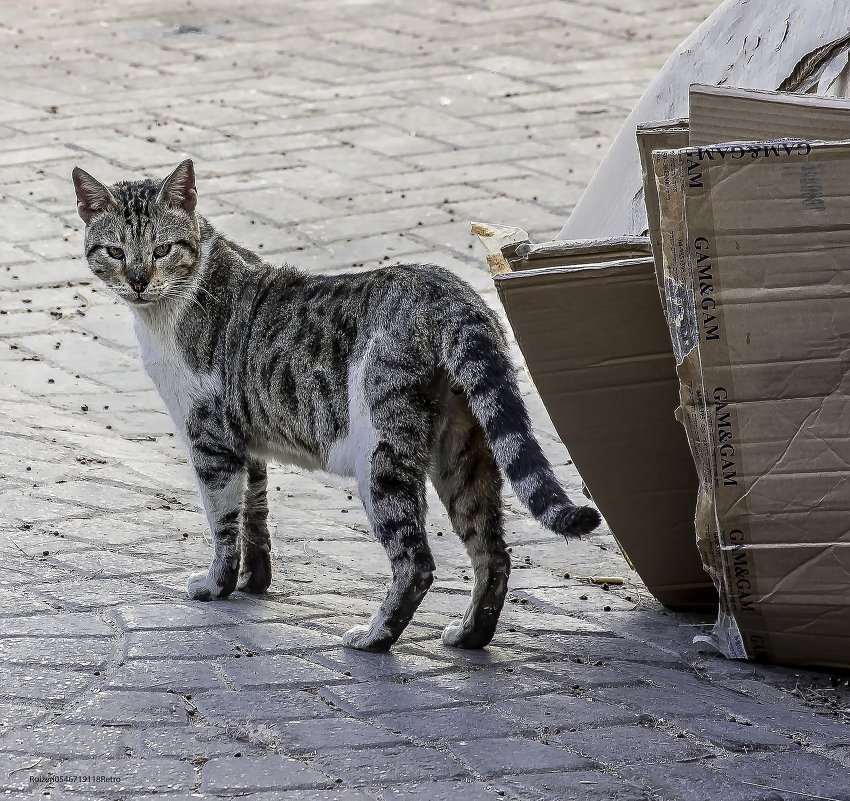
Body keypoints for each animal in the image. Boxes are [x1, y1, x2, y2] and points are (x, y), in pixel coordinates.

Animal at [74, 161, 604, 648]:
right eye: (116, 252)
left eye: (162, 250)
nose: (138, 280)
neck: (175, 303)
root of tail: (449, 295)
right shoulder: (246, 440)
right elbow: (254, 514)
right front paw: (253, 582)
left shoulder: (210, 438)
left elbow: (222, 521)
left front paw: (217, 585)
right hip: (463, 451)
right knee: (492, 553)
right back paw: (469, 635)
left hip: (381, 454)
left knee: (417, 563)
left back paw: (375, 637)